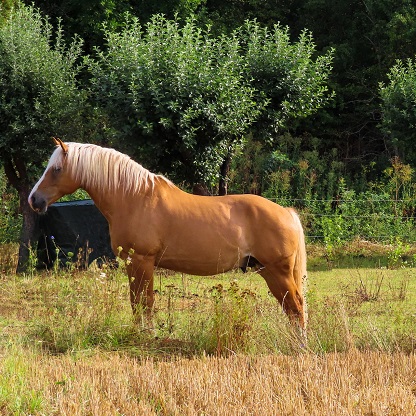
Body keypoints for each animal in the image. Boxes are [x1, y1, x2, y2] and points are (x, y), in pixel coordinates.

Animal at [29, 140, 308, 332]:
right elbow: (136, 302)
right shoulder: (132, 264)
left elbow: (146, 302)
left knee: (296, 306)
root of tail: (286, 212)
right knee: (291, 307)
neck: (134, 198)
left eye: (56, 169)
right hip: (267, 270)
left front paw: (146, 334)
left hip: (278, 271)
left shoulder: (143, 261)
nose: (34, 200)